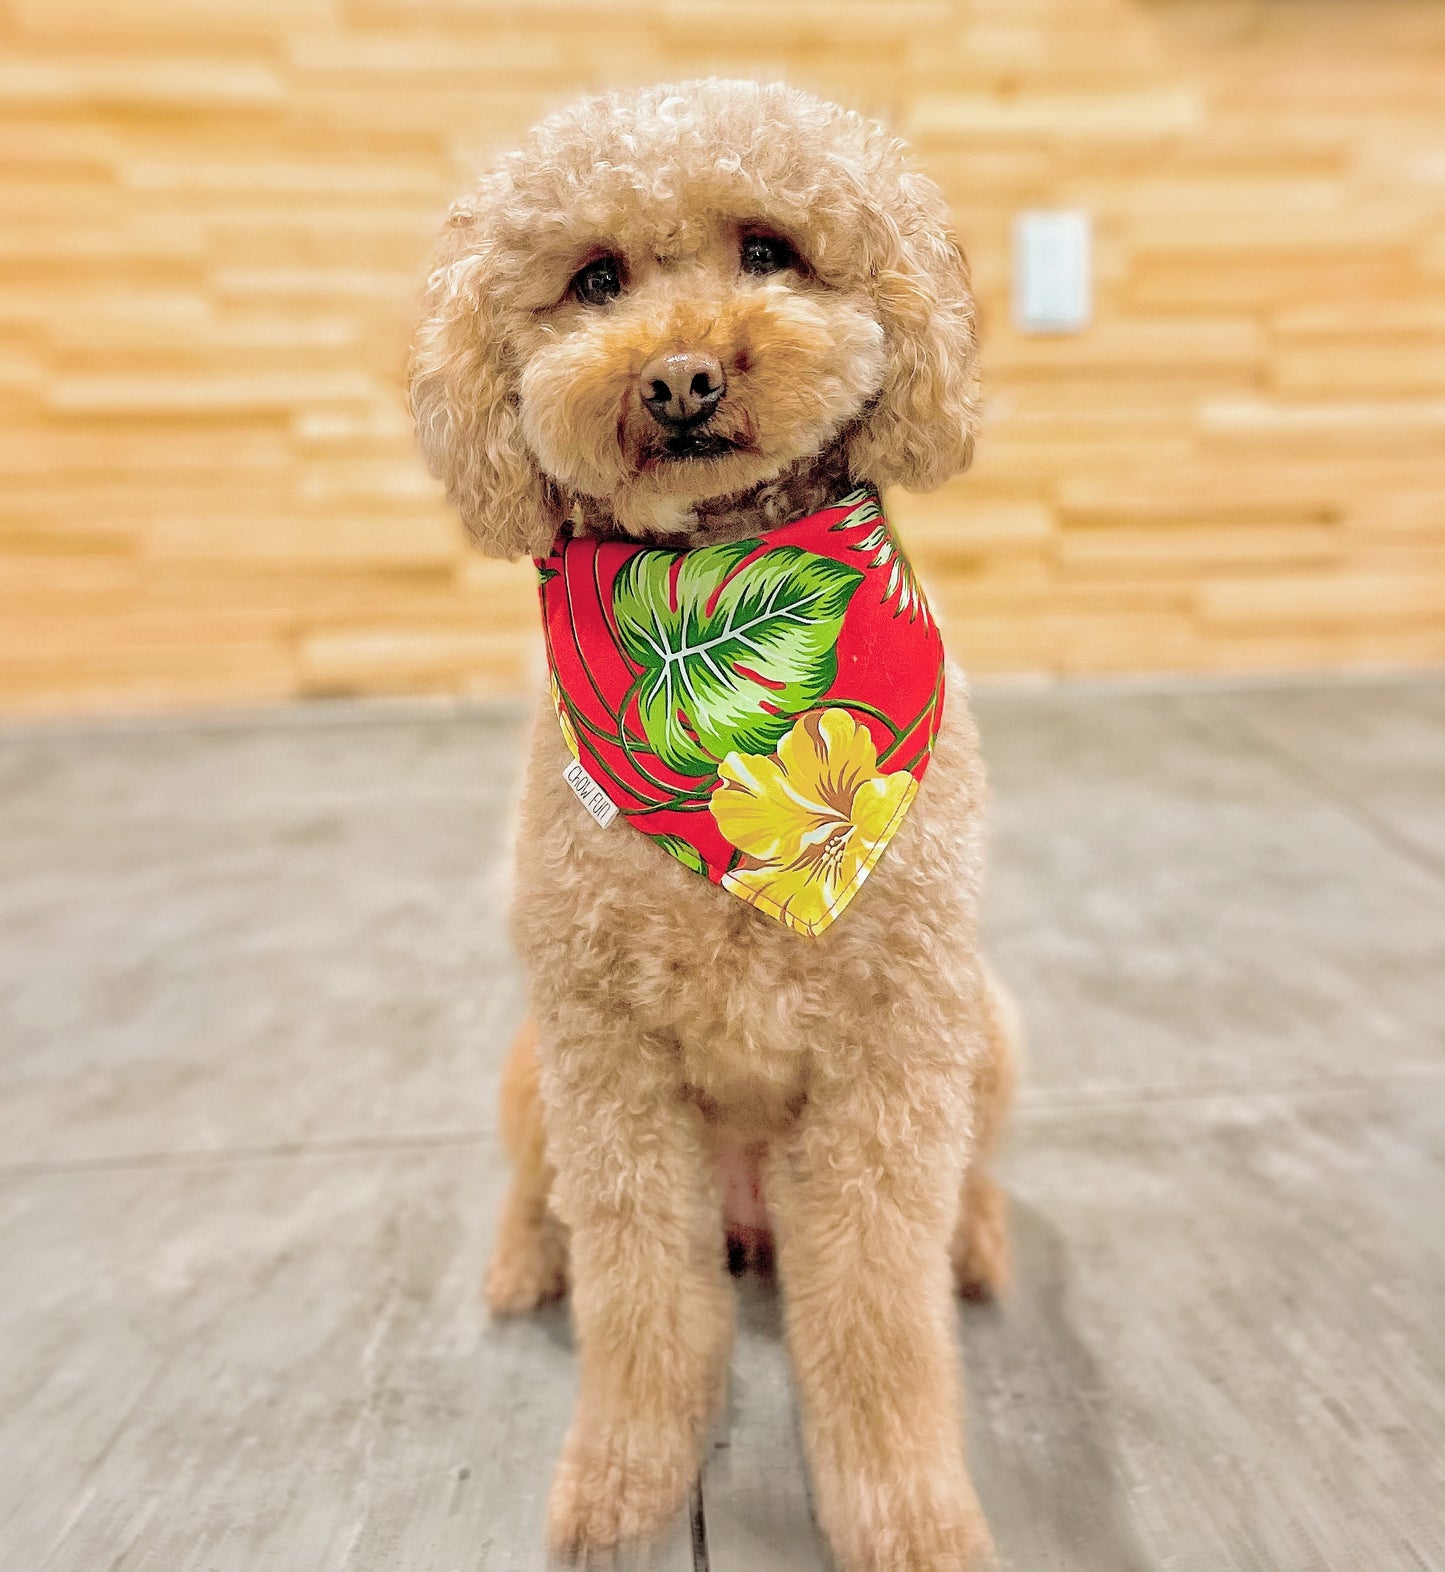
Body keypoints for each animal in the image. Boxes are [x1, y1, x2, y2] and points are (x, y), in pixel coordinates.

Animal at [405, 76, 1018, 1572]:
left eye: (766, 250)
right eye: (595, 279)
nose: (680, 378)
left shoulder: (890, 1059)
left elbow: (878, 1316)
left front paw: (908, 1517)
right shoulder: (606, 1061)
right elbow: (638, 1302)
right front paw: (623, 1483)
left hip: (987, 1033)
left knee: (961, 1193)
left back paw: (975, 1244)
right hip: (531, 1070)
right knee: (541, 1197)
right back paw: (523, 1264)